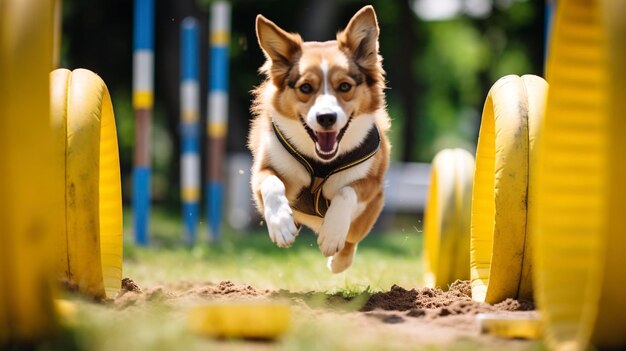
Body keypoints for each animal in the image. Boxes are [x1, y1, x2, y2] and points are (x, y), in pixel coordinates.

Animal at [249, 6, 390, 276]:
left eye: (344, 86)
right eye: (305, 88)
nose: (326, 117)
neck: (321, 163)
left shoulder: (372, 186)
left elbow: (346, 192)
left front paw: (332, 236)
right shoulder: (262, 171)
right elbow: (272, 183)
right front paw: (281, 225)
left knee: (351, 240)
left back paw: (338, 261)